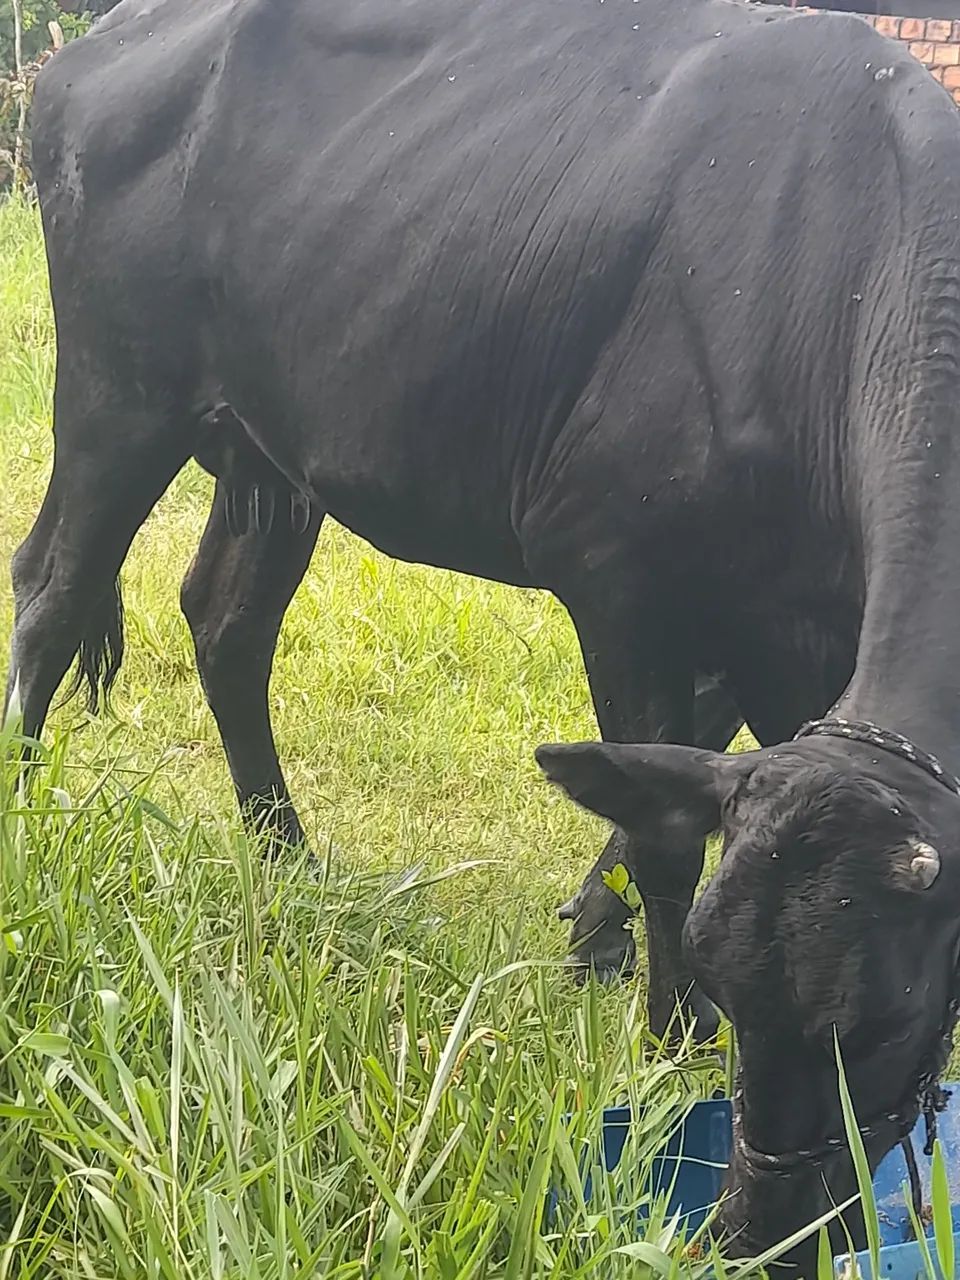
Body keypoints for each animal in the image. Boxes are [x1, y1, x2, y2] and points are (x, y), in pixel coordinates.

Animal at [6, 0, 960, 1265]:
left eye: (886, 1020)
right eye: (731, 976)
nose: (760, 1232)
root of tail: (97, 48)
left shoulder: (789, 628)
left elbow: (686, 769)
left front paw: (610, 948)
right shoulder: (619, 572)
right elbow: (666, 830)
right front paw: (667, 1032)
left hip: (269, 451)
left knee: (225, 620)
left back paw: (287, 854)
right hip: (120, 394)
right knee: (53, 588)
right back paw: (26, 816)